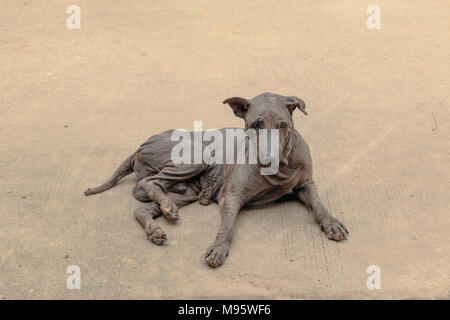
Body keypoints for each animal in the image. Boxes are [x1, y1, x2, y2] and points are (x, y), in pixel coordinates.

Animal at [84, 92, 348, 268]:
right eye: (256, 125)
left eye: (283, 125)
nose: (268, 157)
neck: (280, 168)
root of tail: (140, 145)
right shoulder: (231, 196)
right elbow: (228, 227)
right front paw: (219, 248)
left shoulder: (306, 185)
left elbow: (319, 205)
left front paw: (332, 223)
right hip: (195, 155)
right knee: (149, 184)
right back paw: (165, 208)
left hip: (186, 192)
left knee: (143, 207)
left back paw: (155, 229)